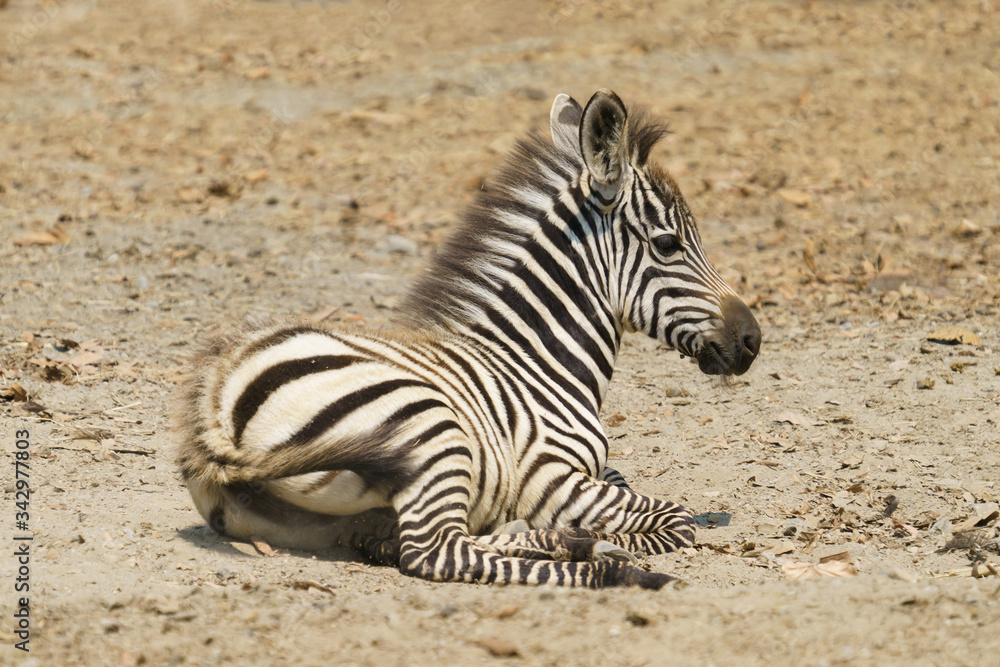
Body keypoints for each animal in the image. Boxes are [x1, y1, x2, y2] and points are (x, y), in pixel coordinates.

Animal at [178, 88, 756, 588]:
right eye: (668, 244)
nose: (752, 338)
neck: (536, 360)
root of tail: (218, 412)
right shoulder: (549, 476)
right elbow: (674, 520)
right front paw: (601, 539)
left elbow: (622, 482)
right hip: (431, 428)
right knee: (438, 552)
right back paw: (609, 566)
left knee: (404, 541)